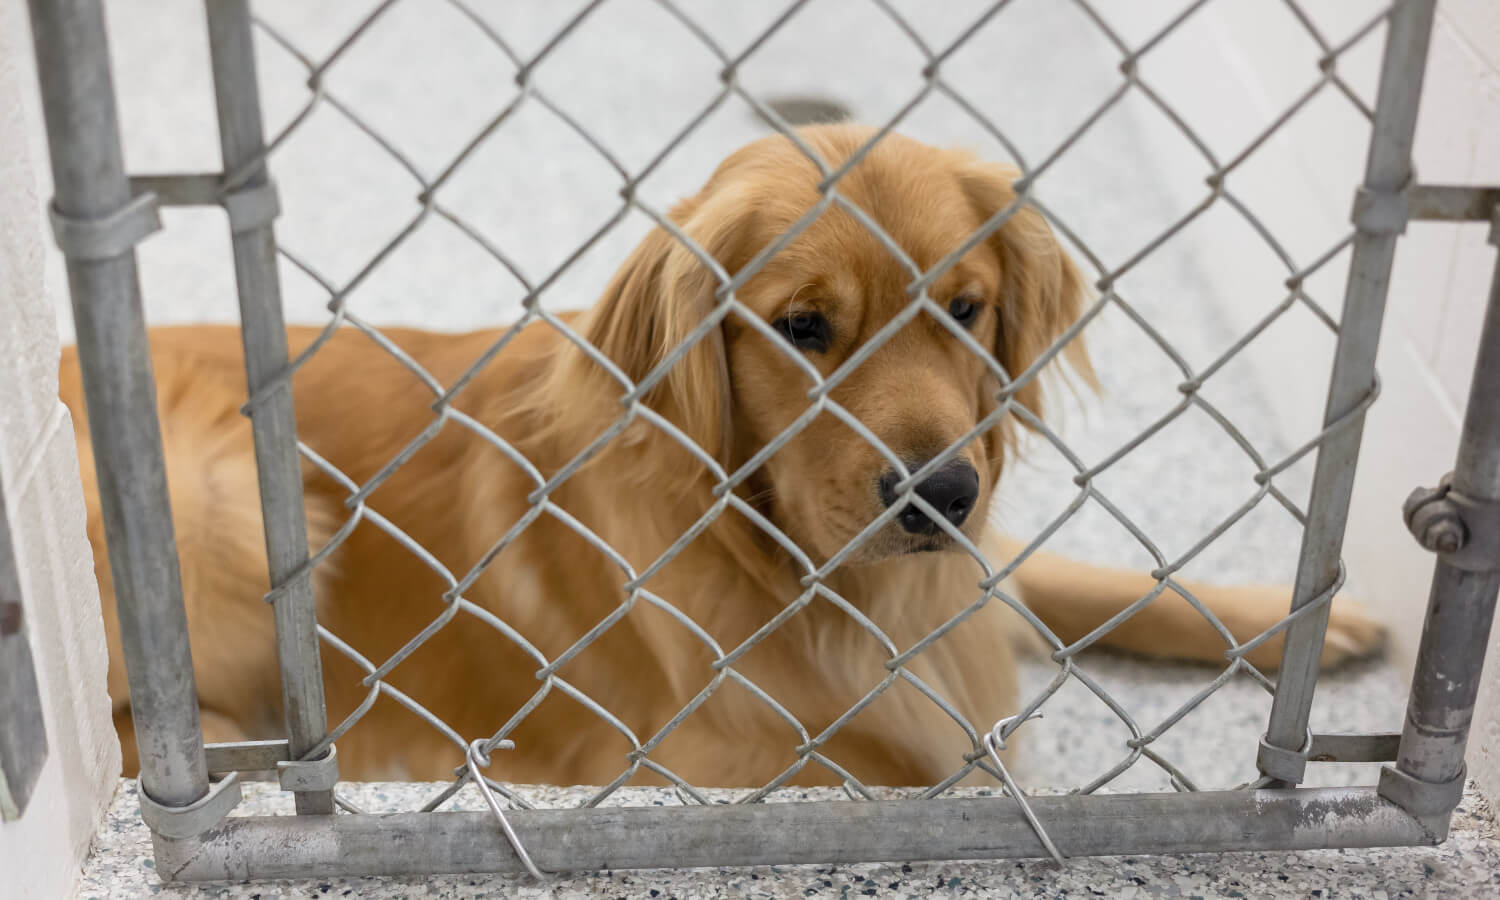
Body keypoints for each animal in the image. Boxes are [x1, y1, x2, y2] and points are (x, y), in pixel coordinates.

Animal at [64, 121, 1386, 786]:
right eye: (803, 329)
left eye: (963, 309)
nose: (941, 492)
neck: (790, 562)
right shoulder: (685, 758)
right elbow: (928, 766)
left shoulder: (967, 566)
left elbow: (1082, 579)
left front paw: (1284, 622)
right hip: (219, 500)